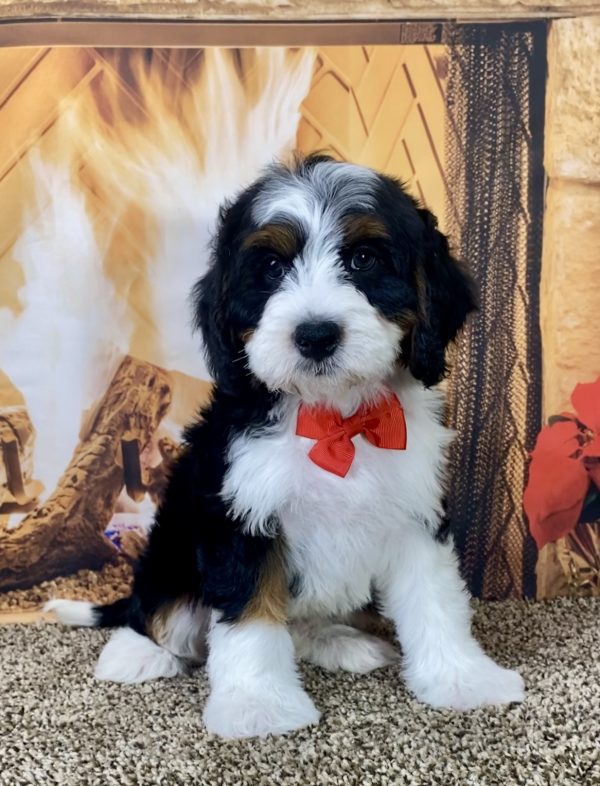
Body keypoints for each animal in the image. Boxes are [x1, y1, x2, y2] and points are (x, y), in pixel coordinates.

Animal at [47, 156, 524, 740]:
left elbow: (435, 599)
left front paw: (463, 679)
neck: (334, 418)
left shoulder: (414, 511)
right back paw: (138, 653)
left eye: (364, 259)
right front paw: (259, 707)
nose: (316, 335)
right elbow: (250, 616)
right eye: (272, 268)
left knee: (298, 624)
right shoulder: (240, 513)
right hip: (172, 552)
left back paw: (339, 641)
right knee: (158, 612)